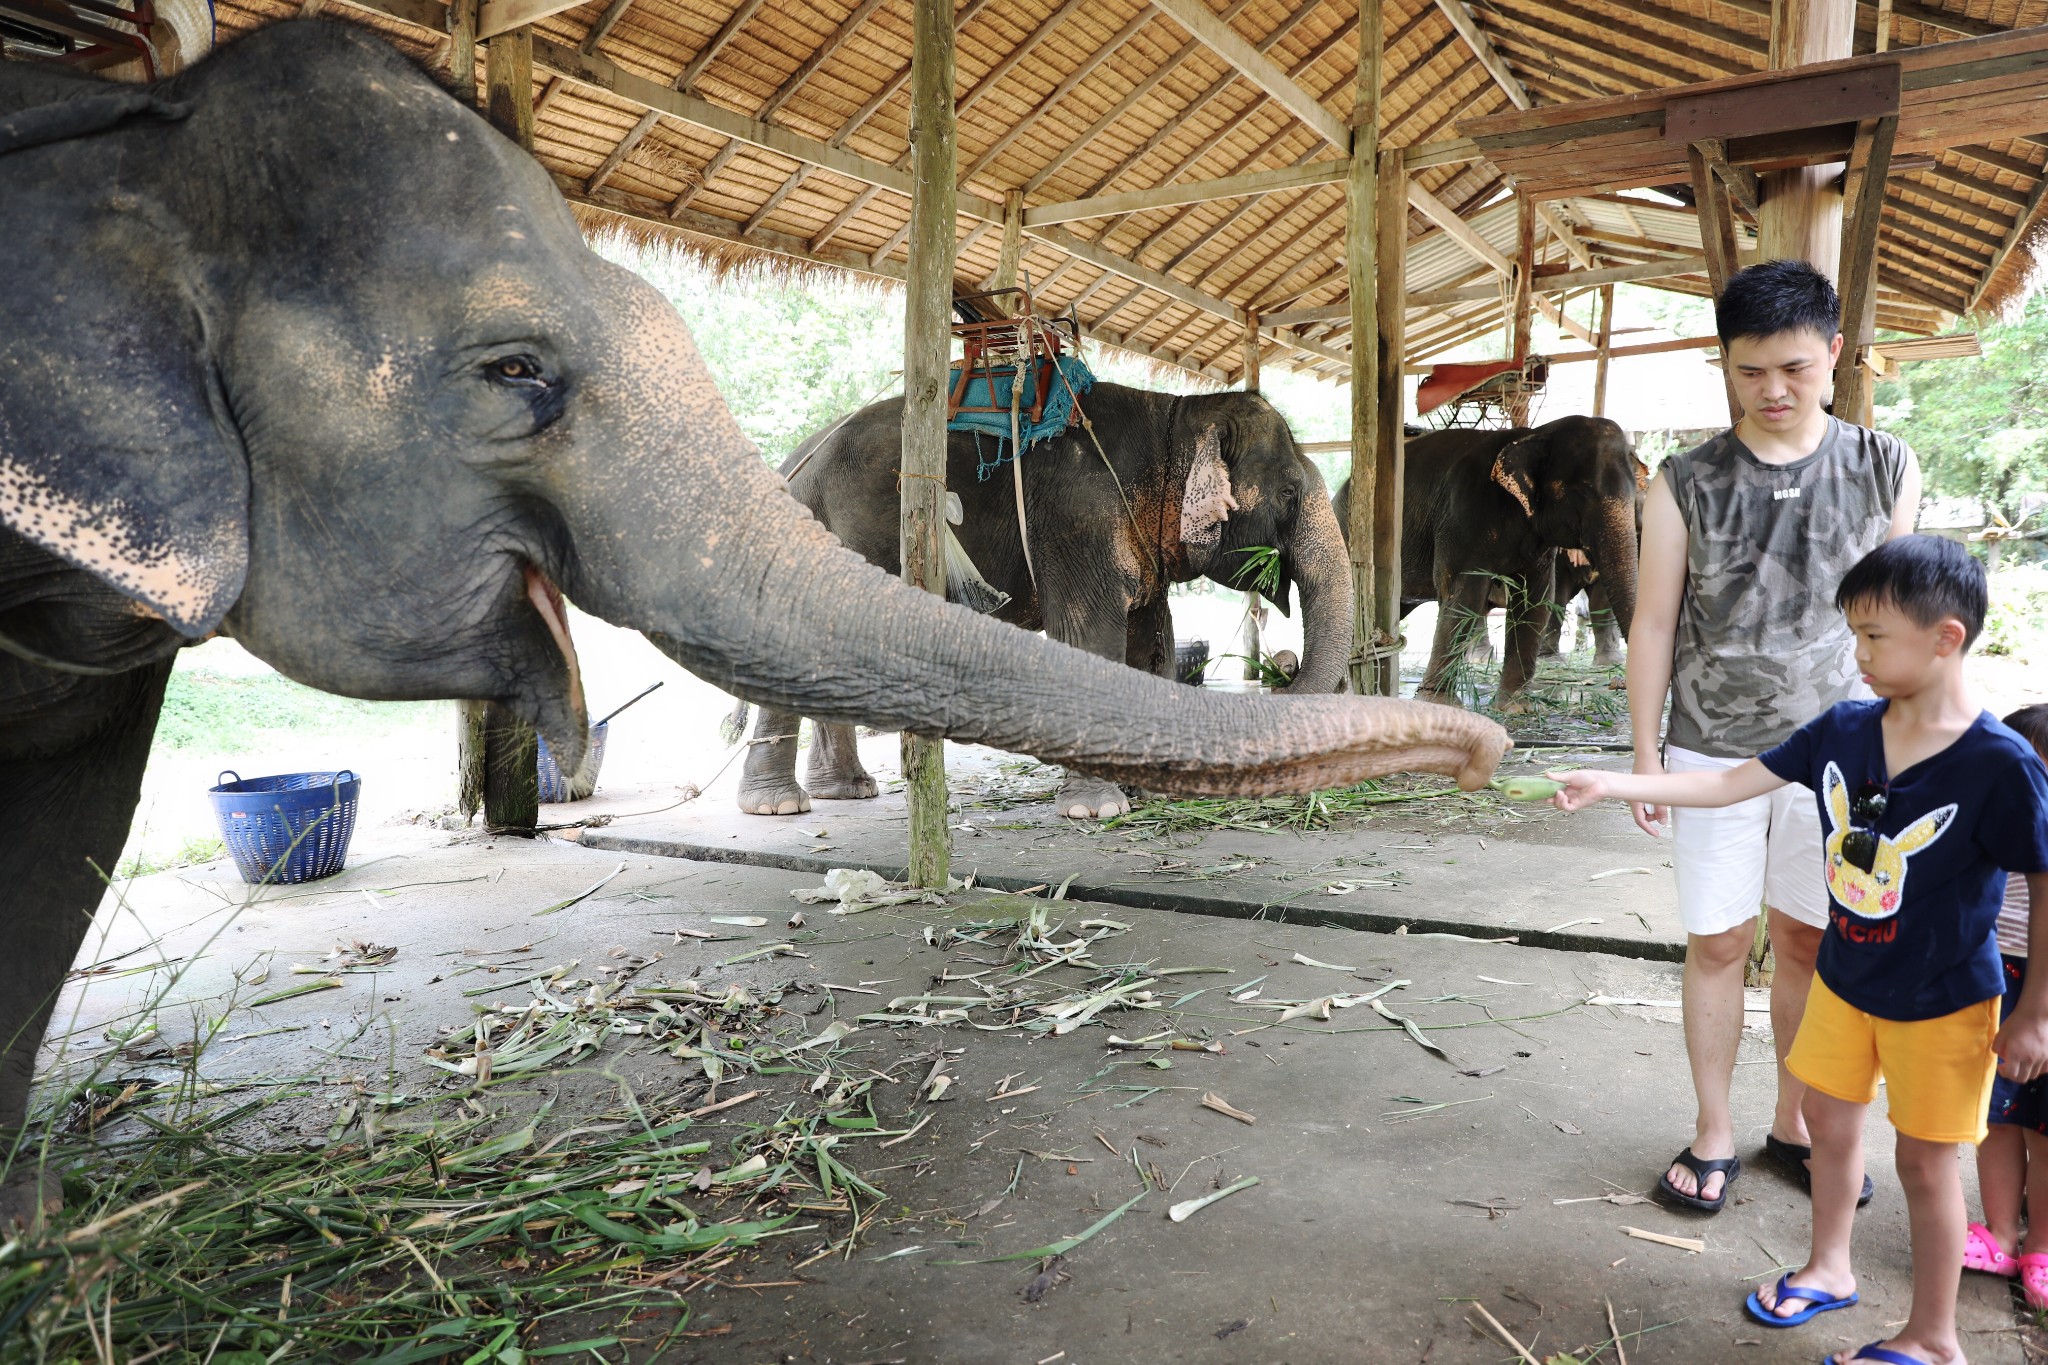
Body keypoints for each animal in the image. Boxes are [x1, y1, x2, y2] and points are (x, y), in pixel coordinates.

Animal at [741, 382, 1359, 822]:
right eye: (1289, 494)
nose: (1282, 670)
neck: (1176, 415)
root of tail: (784, 466)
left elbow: (1152, 642)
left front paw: (1147, 788)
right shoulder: (1077, 517)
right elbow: (1090, 636)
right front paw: (1096, 808)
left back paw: (847, 792)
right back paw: (779, 805)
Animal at [1327, 419, 1646, 712]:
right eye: (1583, 493)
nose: (1618, 684)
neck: (1535, 434)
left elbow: (1534, 602)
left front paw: (1515, 707)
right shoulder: (1463, 517)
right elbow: (1464, 595)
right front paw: (1440, 703)